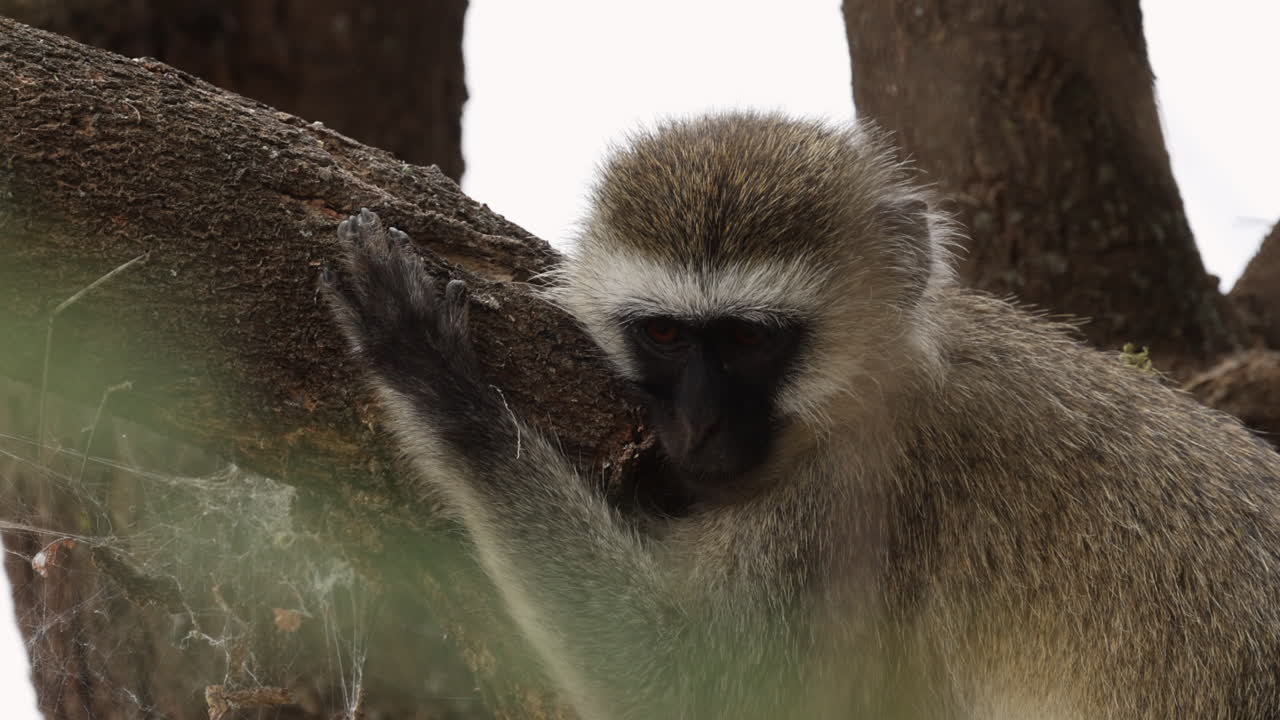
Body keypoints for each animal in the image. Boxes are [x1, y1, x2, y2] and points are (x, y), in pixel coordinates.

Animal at [322, 111, 1280, 719]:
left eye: (747, 340)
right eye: (665, 334)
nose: (700, 425)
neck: (875, 389)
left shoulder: (849, 504)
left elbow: (687, 688)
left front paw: (439, 379)